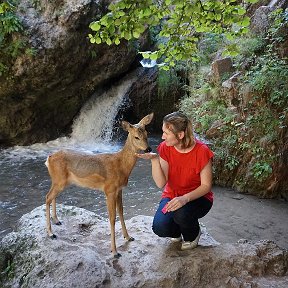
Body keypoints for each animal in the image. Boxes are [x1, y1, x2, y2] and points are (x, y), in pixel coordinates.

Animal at [44, 112, 154, 256]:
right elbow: (112, 218)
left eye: (146, 133)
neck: (121, 165)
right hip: (59, 180)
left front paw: (128, 237)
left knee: (52, 196)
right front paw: (114, 251)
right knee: (47, 197)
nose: (148, 149)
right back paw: (51, 233)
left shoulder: (119, 190)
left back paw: (57, 221)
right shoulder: (109, 190)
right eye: (136, 136)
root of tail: (49, 158)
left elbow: (121, 212)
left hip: (59, 180)